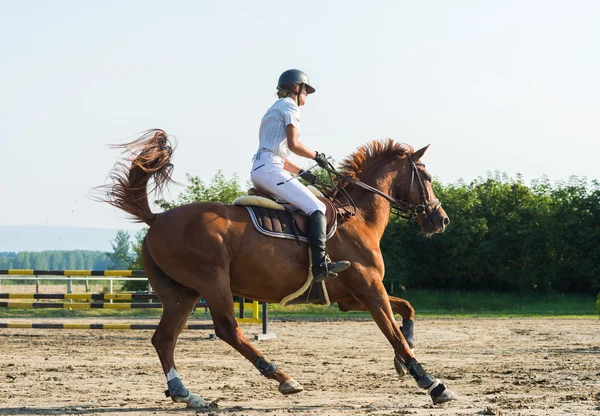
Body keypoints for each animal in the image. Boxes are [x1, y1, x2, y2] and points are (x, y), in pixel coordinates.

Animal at [102, 131, 454, 410]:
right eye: (428, 178)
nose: (441, 219)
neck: (358, 218)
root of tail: (157, 219)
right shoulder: (371, 291)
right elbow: (393, 332)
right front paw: (431, 383)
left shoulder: (353, 298)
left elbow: (406, 310)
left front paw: (404, 358)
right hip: (212, 282)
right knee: (228, 329)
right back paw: (281, 376)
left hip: (182, 294)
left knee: (164, 339)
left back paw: (186, 394)